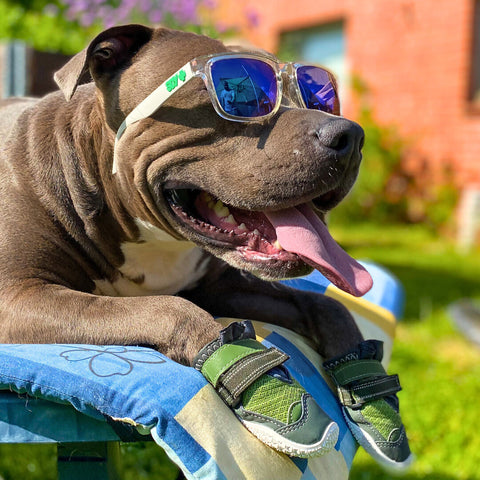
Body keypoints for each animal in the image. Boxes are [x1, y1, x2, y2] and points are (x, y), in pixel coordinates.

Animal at [0, 24, 368, 366]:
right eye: (243, 99)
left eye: (320, 98)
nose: (350, 135)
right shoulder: (18, 297)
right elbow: (171, 310)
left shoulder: (221, 287)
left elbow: (324, 305)